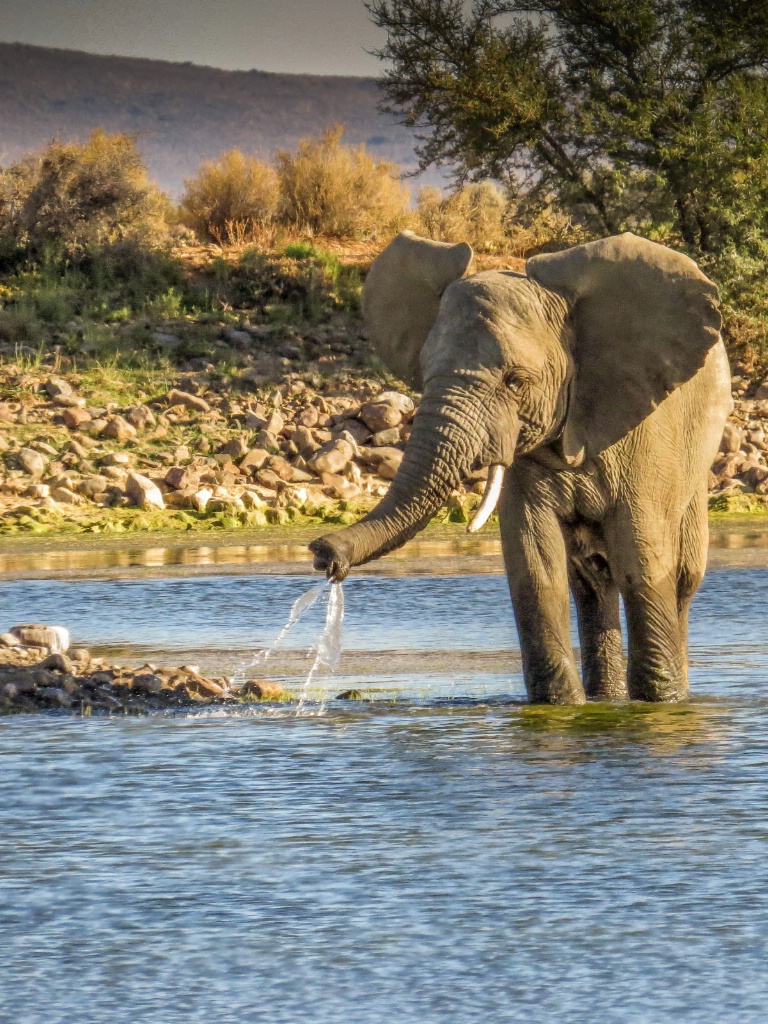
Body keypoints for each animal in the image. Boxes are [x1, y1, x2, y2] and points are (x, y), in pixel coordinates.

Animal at [309, 234, 733, 704]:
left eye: (515, 382)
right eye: (424, 370)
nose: (324, 556)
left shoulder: (647, 435)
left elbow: (640, 561)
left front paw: (658, 705)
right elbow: (534, 565)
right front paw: (560, 705)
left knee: (681, 576)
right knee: (591, 583)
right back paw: (605, 698)